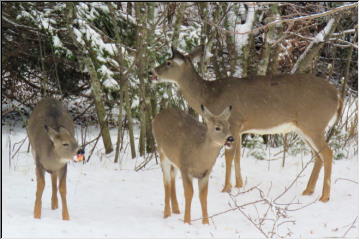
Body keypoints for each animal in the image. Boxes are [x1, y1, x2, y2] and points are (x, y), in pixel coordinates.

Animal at [150, 46, 344, 202]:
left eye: (168, 62)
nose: (152, 73)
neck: (210, 95)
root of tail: (338, 95)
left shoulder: (234, 121)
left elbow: (229, 156)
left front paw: (226, 188)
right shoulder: (239, 129)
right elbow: (237, 155)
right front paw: (239, 184)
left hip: (313, 123)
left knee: (327, 153)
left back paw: (324, 196)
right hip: (304, 127)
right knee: (318, 155)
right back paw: (308, 190)